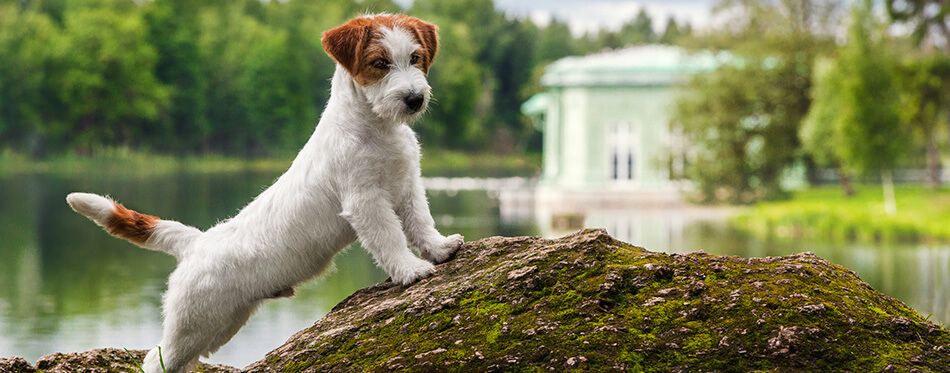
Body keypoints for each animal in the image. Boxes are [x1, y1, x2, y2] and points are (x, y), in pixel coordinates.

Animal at [65, 14, 462, 372]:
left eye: (415, 58)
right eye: (380, 63)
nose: (414, 99)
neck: (375, 128)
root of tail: (195, 243)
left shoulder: (407, 186)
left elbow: (421, 223)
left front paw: (440, 248)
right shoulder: (366, 202)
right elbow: (390, 238)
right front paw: (411, 269)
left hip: (222, 325)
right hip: (191, 326)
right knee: (156, 358)